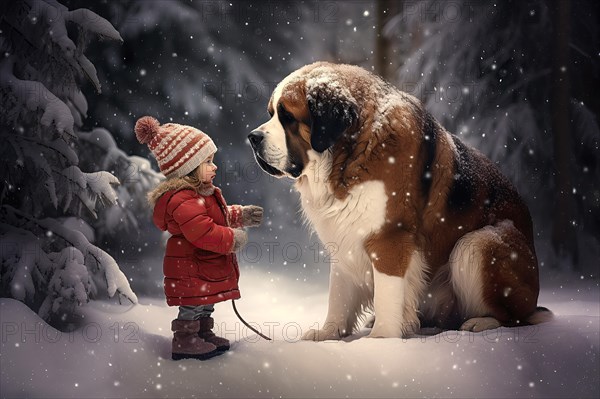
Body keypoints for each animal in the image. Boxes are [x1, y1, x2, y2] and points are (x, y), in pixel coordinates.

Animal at [246, 61, 552, 340]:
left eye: (287, 117)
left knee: (513, 316)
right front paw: (329, 333)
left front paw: (381, 340)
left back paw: (480, 322)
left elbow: (387, 293)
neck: (350, 155)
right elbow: (339, 295)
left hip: (479, 244)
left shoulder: (389, 239)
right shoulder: (344, 238)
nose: (252, 137)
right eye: (271, 114)